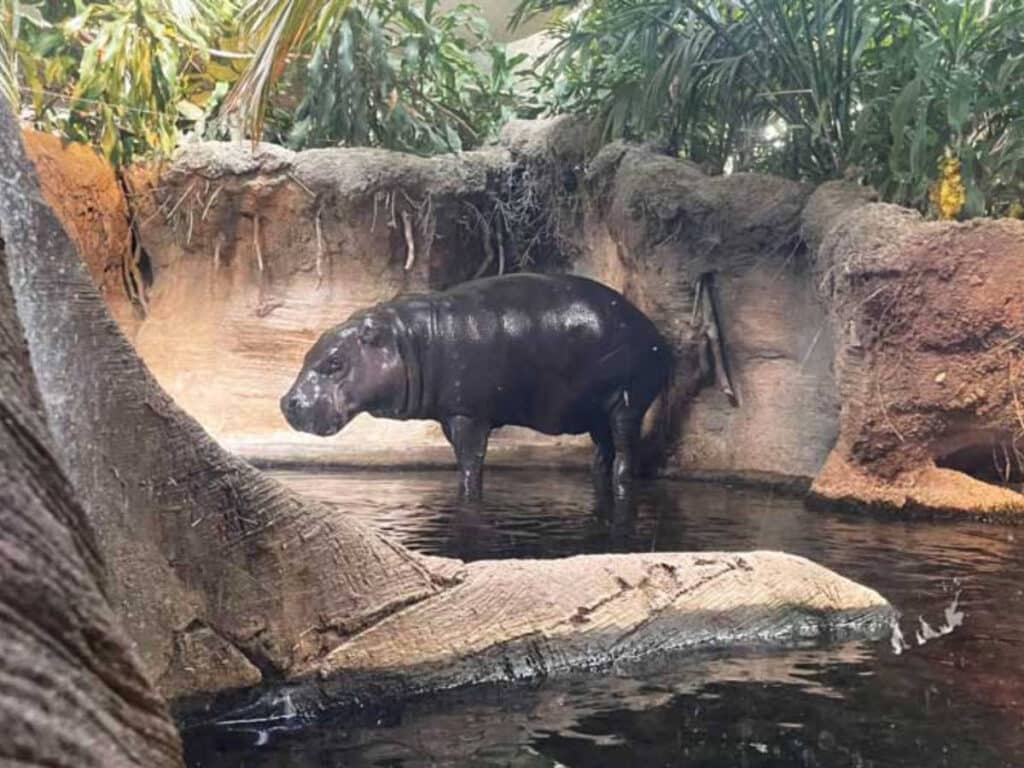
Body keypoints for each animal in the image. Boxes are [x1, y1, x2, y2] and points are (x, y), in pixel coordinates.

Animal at [281, 273, 671, 499]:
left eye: (334, 362)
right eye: (308, 353)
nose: (287, 402)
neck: (410, 339)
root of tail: (655, 335)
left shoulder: (467, 415)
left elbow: (470, 464)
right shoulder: (450, 415)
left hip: (627, 404)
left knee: (625, 452)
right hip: (595, 410)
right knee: (603, 451)